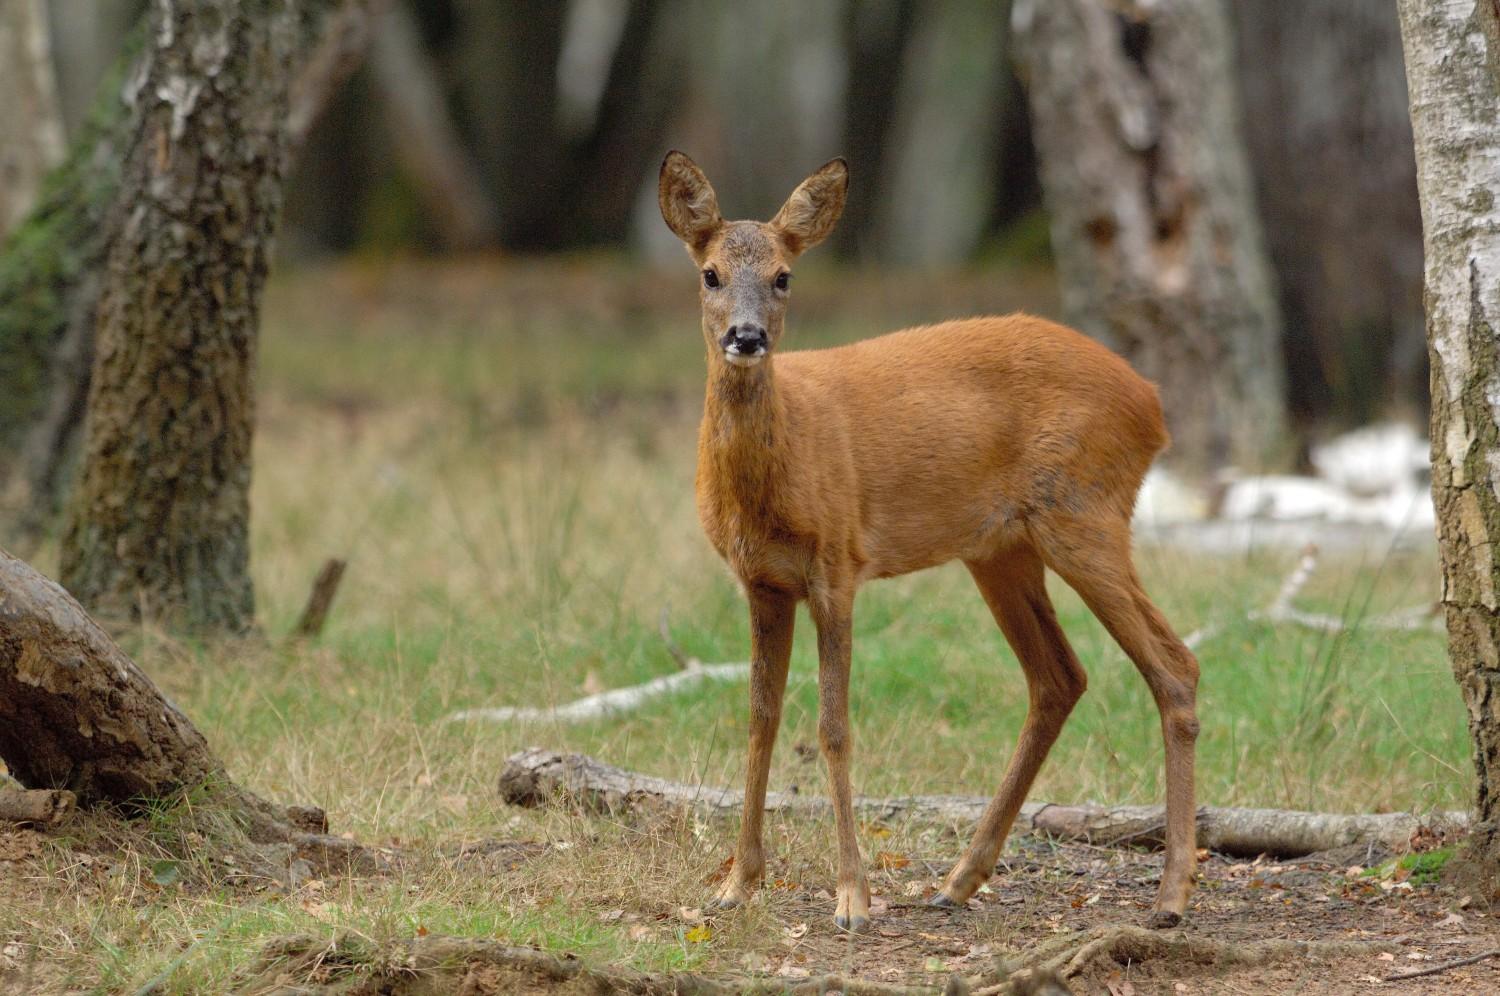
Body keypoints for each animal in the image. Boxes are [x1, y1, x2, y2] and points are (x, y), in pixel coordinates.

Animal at [663, 151, 1200, 930]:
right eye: (709, 273)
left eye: (784, 276)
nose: (746, 337)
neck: (782, 464)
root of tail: (1153, 405)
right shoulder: (762, 580)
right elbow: (761, 718)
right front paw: (736, 885)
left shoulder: (838, 563)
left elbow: (832, 725)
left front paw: (853, 898)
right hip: (1000, 550)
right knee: (1060, 676)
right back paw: (959, 879)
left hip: (1085, 514)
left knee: (1173, 666)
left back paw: (1172, 893)